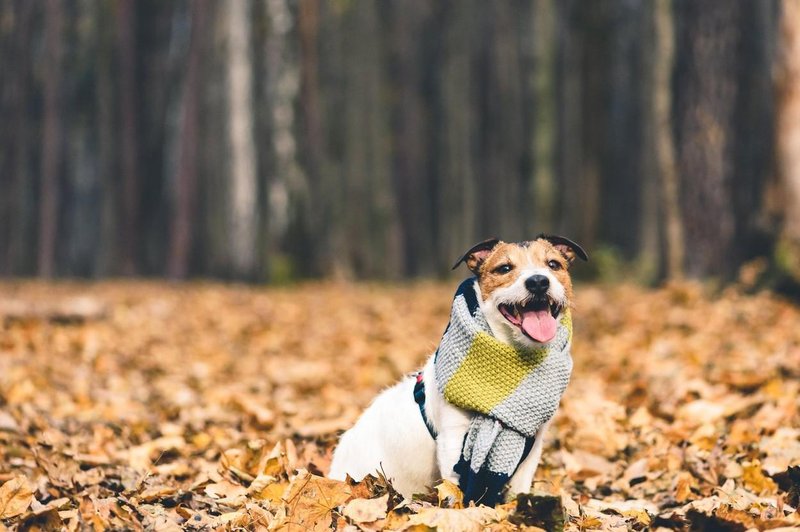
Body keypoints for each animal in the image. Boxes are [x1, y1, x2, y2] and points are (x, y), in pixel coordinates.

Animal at [326, 236, 588, 502]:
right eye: (504, 268)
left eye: (553, 264)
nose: (538, 281)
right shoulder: (453, 442)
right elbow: (458, 492)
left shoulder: (532, 448)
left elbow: (518, 490)